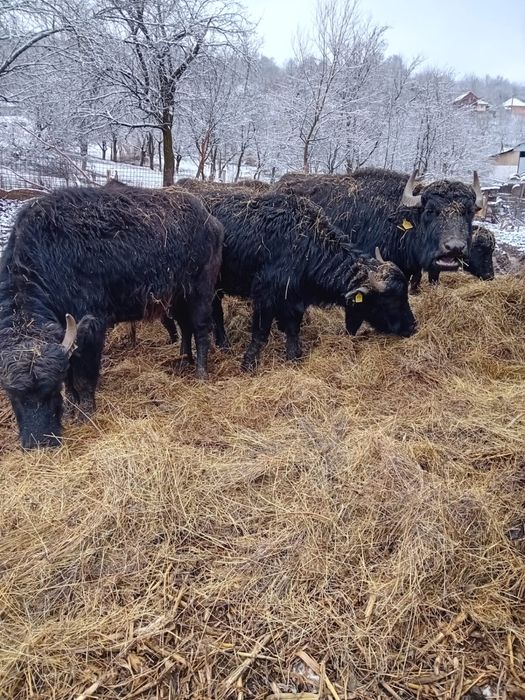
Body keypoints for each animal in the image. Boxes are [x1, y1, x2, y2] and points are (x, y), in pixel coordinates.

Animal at [0, 186, 223, 448]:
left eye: (50, 390)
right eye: (12, 394)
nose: (39, 443)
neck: (50, 257)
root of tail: (211, 221)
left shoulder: (93, 329)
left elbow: (83, 379)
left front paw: (85, 414)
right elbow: (70, 378)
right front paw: (72, 410)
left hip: (200, 291)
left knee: (201, 329)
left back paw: (200, 373)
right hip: (177, 296)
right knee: (185, 327)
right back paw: (183, 360)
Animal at [176, 184, 417, 370]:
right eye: (390, 299)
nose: (412, 327)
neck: (305, 246)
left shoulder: (295, 299)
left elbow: (293, 329)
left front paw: (294, 358)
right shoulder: (265, 296)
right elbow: (261, 333)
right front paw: (249, 364)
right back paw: (224, 344)